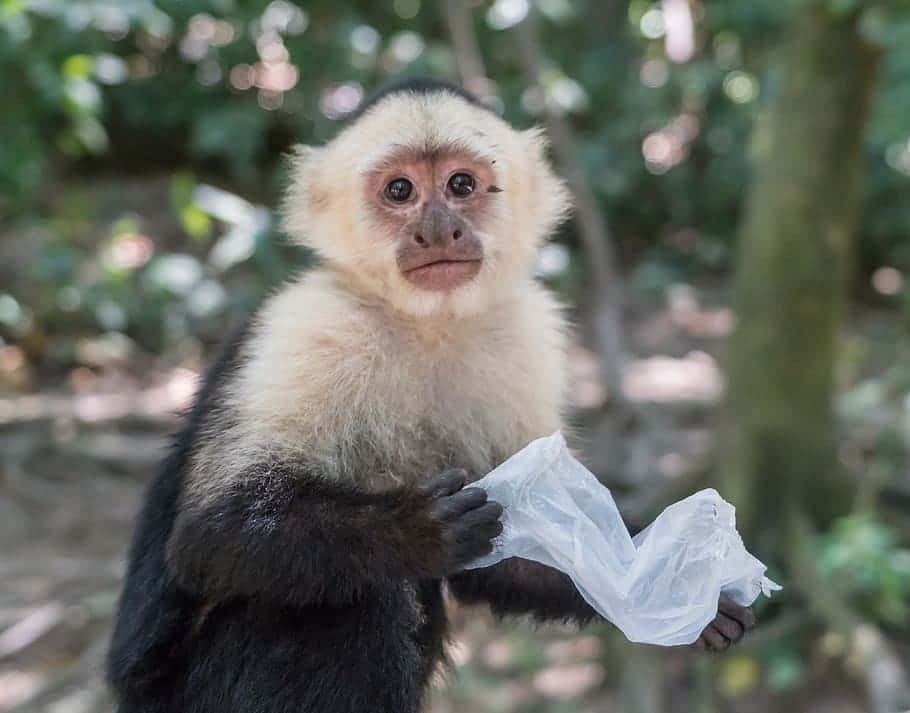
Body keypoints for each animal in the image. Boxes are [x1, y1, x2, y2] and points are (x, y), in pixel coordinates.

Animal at [107, 78, 756, 712]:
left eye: (460, 184)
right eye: (400, 190)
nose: (439, 229)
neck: (426, 322)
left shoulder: (525, 334)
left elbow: (521, 547)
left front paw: (677, 588)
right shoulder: (310, 326)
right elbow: (212, 534)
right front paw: (409, 531)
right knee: (354, 601)